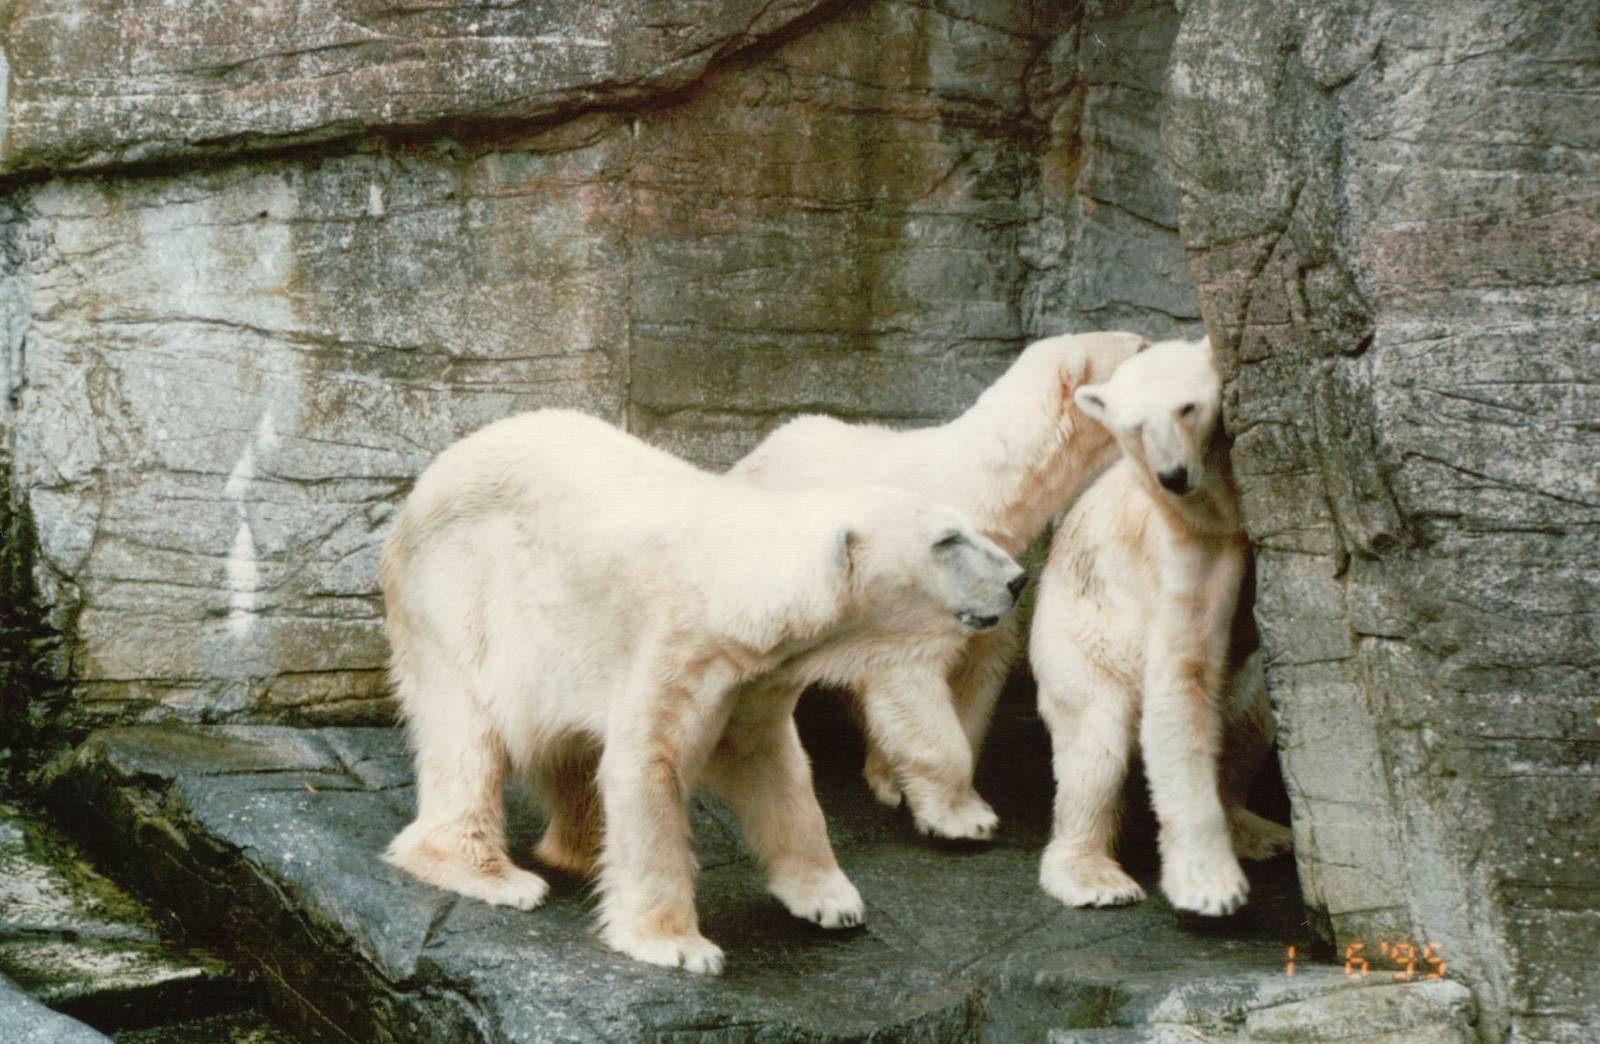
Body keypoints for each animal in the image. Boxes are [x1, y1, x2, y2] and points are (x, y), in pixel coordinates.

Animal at [379, 409, 1023, 973]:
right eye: (947, 540)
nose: (1017, 579)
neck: (738, 588)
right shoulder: (678, 645)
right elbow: (648, 764)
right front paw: (679, 945)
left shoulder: (757, 679)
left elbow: (774, 766)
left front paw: (831, 900)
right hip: (457, 596)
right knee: (465, 734)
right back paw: (495, 874)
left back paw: (586, 853)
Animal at [729, 331, 1144, 838]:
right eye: (1143, 347)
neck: (982, 491)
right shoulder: (917, 582)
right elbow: (911, 673)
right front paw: (965, 820)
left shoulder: (993, 570)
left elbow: (975, 674)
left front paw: (902, 783)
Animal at [1030, 336, 1292, 916]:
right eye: (1134, 426)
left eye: (1186, 408)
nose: (1171, 475)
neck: (1220, 510)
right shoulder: (1187, 546)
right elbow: (1181, 679)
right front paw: (1211, 888)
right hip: (1078, 647)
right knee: (1095, 746)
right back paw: (1093, 877)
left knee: (1250, 720)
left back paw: (1260, 830)